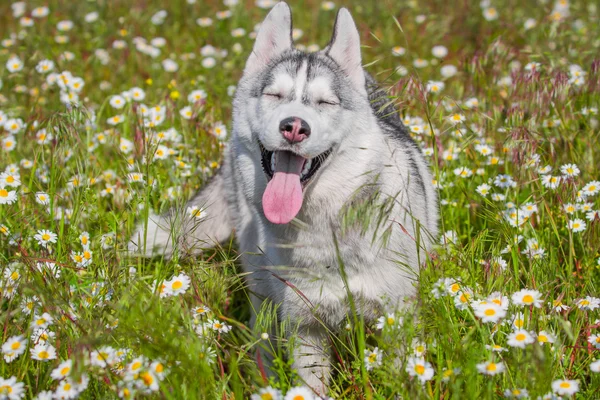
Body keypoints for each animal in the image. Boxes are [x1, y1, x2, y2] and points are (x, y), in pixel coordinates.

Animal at [129, 2, 438, 396]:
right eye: (274, 96)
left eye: (325, 102)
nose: (294, 127)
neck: (325, 233)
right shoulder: (304, 329)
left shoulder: (398, 322)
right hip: (262, 294)